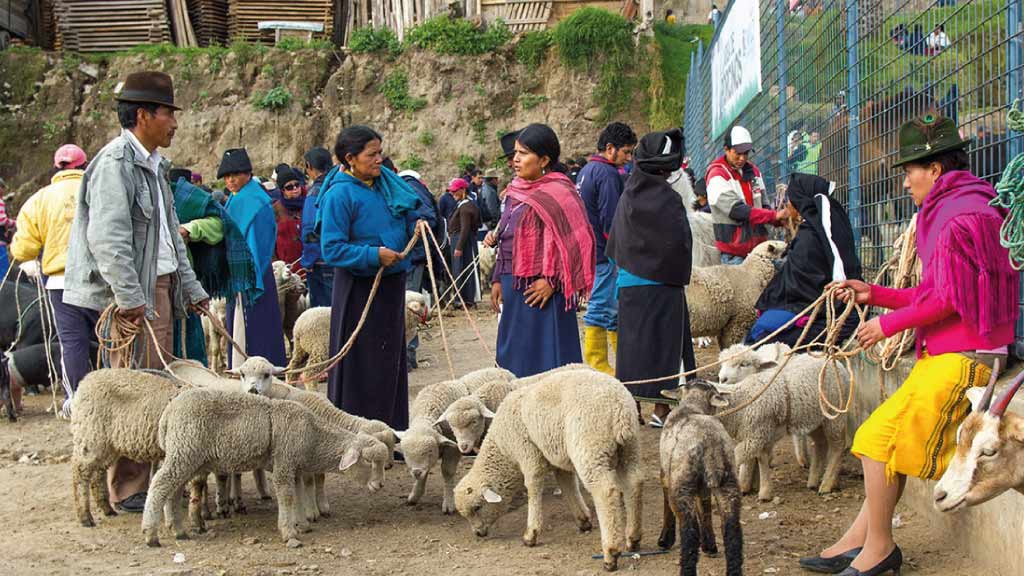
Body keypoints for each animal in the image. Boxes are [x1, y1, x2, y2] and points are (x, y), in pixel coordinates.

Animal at [140, 387, 387, 545]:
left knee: (173, 490)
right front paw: (289, 533)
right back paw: (151, 534)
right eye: (368, 461)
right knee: (160, 484)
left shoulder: (293, 466)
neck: (313, 436)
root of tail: (168, 412)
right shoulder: (284, 462)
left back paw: (179, 531)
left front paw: (302, 524)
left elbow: (297, 494)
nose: (380, 485)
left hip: (189, 457)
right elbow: (287, 496)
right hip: (184, 450)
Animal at [454, 366, 638, 569]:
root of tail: (619, 407)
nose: (478, 533)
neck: (503, 448)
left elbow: (533, 488)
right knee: (634, 483)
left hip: (590, 447)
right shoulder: (558, 457)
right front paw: (583, 520)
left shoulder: (528, 454)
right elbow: (568, 486)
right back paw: (633, 538)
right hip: (629, 447)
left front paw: (531, 534)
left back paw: (611, 553)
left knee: (606, 492)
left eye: (478, 507)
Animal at [659, 379, 741, 573]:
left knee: (689, 533)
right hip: (728, 481)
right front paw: (710, 546)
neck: (692, 406)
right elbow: (705, 509)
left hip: (682, 485)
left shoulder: (665, 476)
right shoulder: (704, 486)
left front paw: (665, 540)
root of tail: (710, 443)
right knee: (732, 529)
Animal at [712, 340, 847, 498]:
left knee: (838, 446)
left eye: (744, 364)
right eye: (722, 363)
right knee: (821, 444)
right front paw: (755, 484)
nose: (722, 379)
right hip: (814, 418)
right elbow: (759, 456)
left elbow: (754, 457)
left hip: (834, 414)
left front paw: (749, 486)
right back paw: (813, 481)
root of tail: (829, 358)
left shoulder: (759, 430)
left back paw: (827, 483)